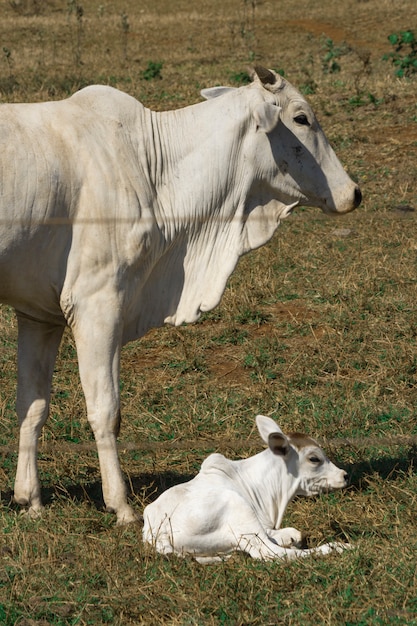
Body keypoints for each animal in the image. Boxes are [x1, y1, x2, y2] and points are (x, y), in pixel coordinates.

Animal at [0, 66, 360, 520]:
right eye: (301, 118)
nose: (354, 193)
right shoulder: (97, 301)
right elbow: (106, 410)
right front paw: (121, 505)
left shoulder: (39, 314)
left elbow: (32, 407)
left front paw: (30, 500)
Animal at [143, 414, 348, 560]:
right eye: (314, 458)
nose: (344, 475)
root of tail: (158, 534)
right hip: (239, 511)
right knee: (271, 552)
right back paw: (338, 547)